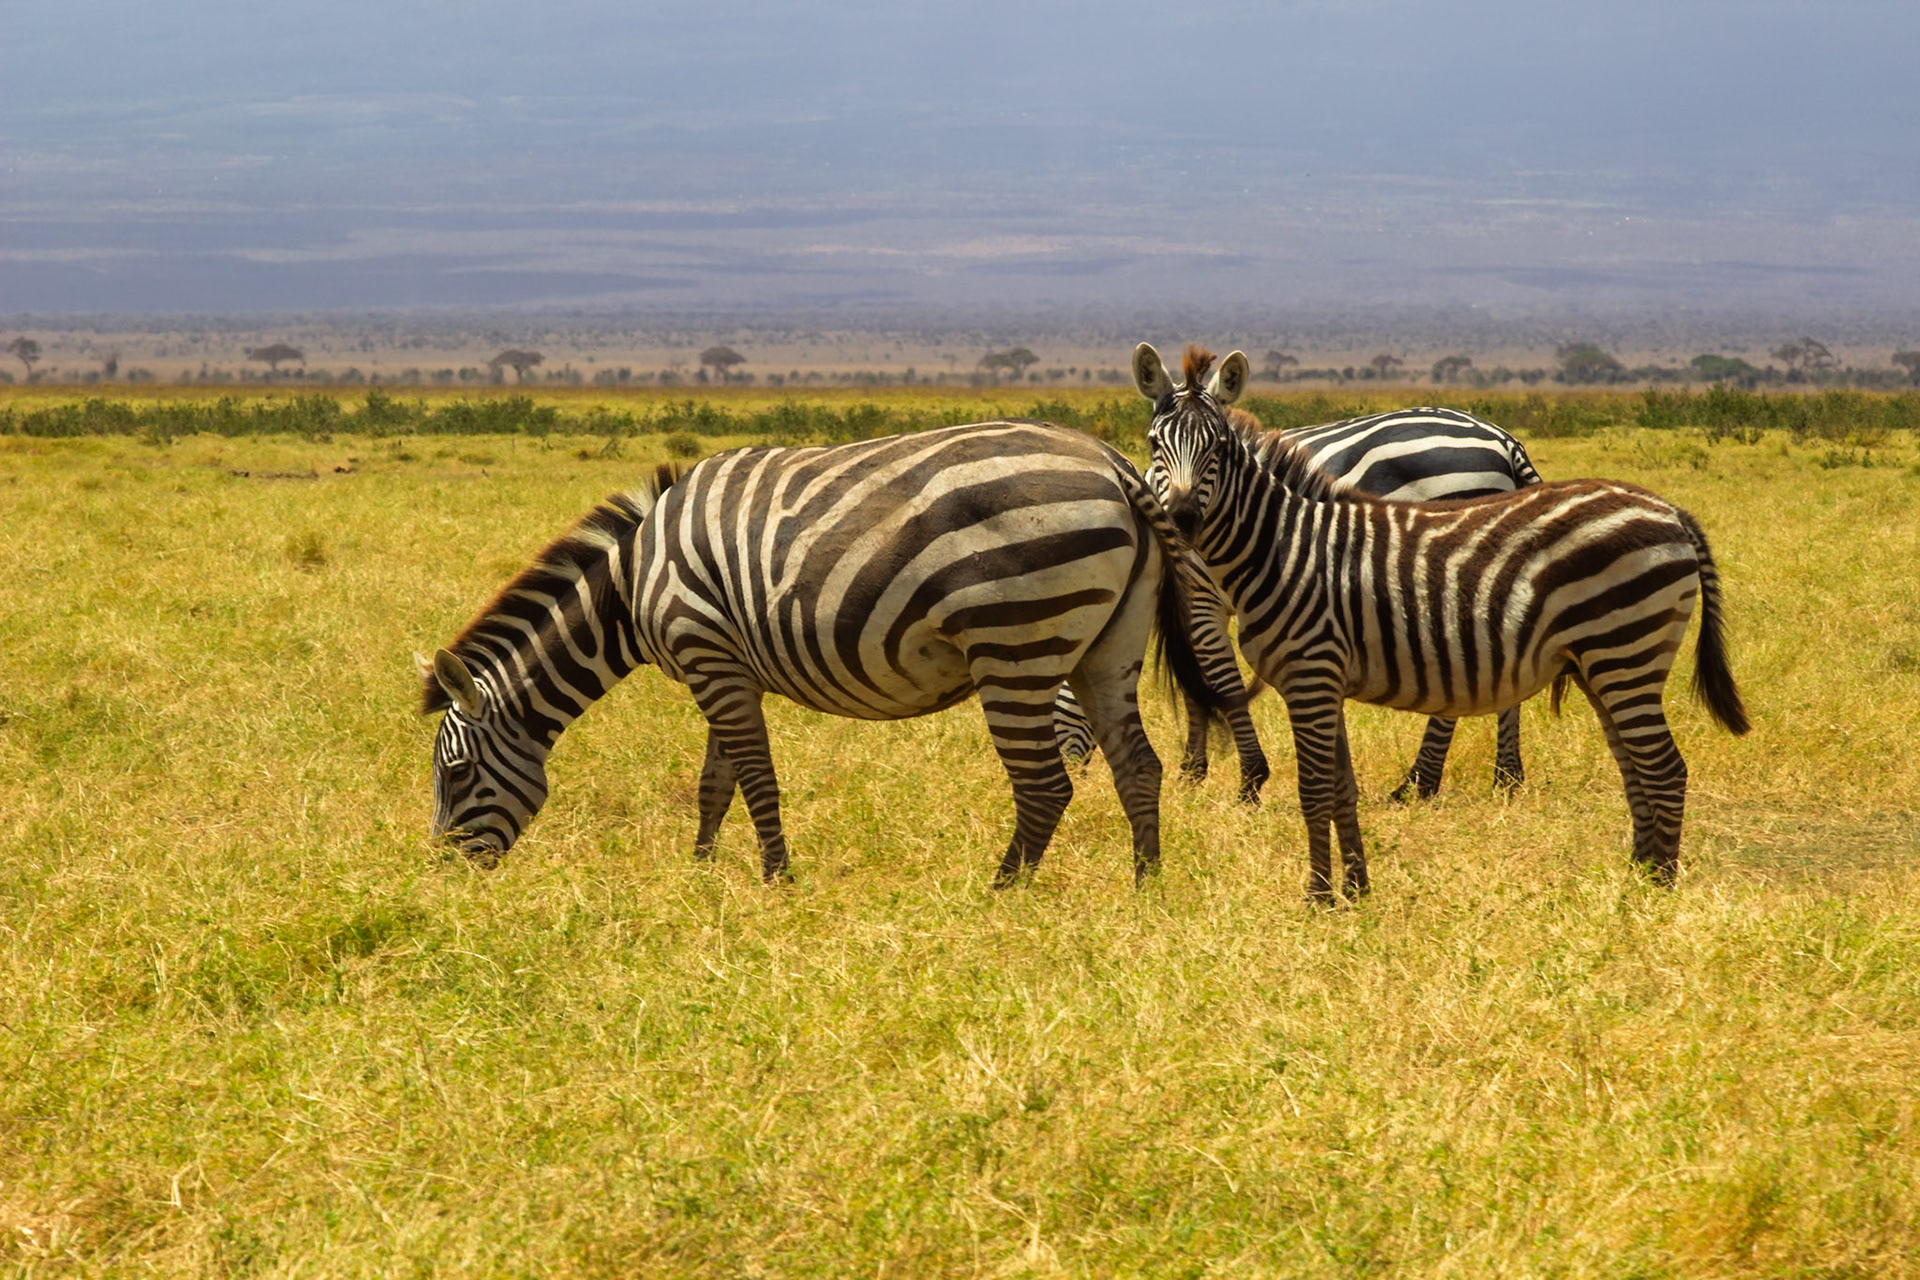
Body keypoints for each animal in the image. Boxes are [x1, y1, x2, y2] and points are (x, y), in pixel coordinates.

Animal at [419, 421, 1222, 888]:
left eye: (455, 773)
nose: (443, 876)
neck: (629, 583)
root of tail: (1116, 467)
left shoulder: (707, 653)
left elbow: (754, 779)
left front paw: (776, 881)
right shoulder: (726, 667)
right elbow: (716, 783)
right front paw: (701, 872)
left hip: (1015, 640)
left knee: (1045, 786)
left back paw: (1001, 893)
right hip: (1106, 647)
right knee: (1138, 766)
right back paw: (1146, 886)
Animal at [1055, 405, 1546, 802]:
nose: (1073, 779)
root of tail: (1504, 440)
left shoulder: (1200, 599)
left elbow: (1214, 683)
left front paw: (1237, 778)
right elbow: (1198, 686)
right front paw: (1194, 771)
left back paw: (1418, 784)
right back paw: (1506, 777)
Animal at [1135, 342, 1749, 899]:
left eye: (1218, 447)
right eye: (1153, 444)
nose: (1183, 519)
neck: (1281, 545)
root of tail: (1671, 511)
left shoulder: (1305, 670)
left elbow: (1300, 776)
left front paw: (1315, 892)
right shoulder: (1325, 677)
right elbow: (1340, 788)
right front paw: (1357, 889)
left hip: (1625, 651)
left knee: (1664, 768)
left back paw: (1655, 890)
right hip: (1604, 662)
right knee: (1634, 766)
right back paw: (1634, 874)